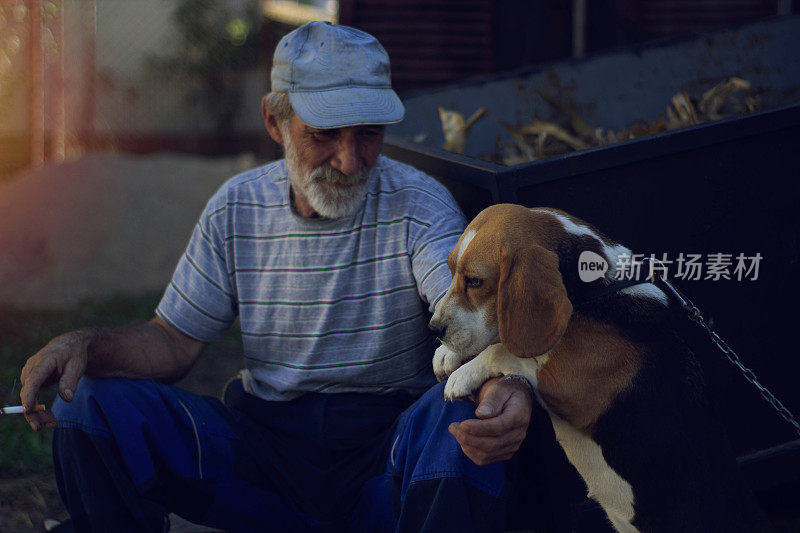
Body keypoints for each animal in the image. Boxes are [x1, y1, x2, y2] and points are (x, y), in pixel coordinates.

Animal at [428, 204, 772, 532]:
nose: (435, 329)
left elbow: (508, 350)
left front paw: (462, 375)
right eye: (451, 270)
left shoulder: (574, 387)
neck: (595, 292)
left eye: (475, 281)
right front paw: (447, 355)